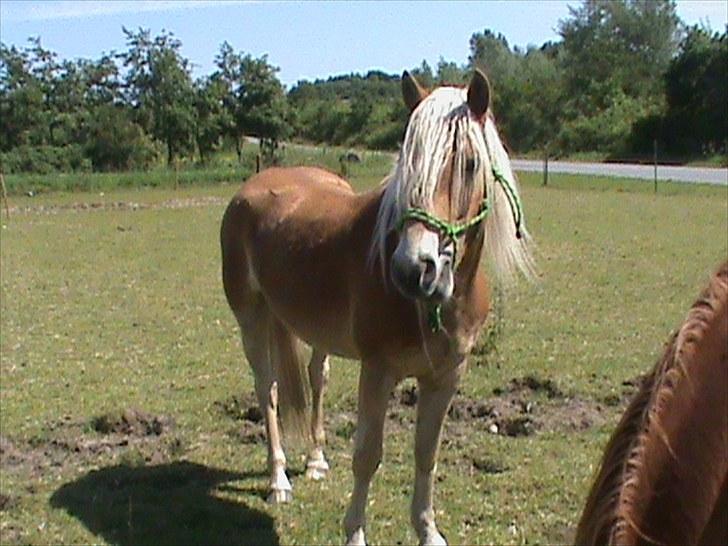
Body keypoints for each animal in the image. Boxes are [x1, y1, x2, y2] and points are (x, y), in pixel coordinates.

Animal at [219, 69, 532, 544]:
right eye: (407, 164)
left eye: (469, 163)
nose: (413, 268)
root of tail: (251, 188)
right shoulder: (378, 369)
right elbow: (367, 455)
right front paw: (354, 533)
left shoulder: (446, 377)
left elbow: (426, 454)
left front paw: (428, 531)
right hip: (251, 320)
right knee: (267, 390)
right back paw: (278, 481)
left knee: (317, 378)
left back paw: (315, 461)